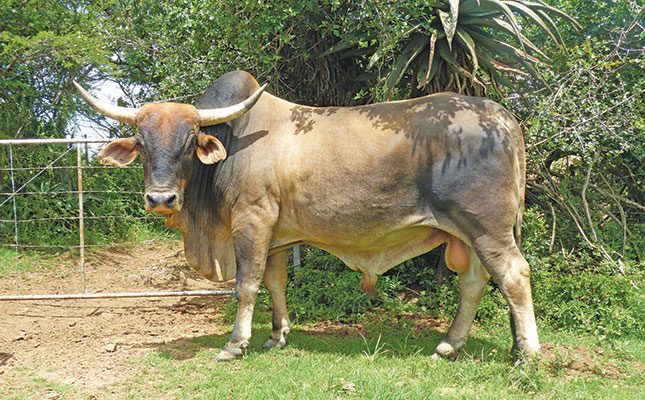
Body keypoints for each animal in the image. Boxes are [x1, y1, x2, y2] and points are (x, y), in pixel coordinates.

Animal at [74, 70, 540, 364]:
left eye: (190, 141)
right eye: (141, 142)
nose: (161, 198)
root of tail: (501, 115)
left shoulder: (251, 224)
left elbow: (246, 286)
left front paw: (235, 345)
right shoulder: (277, 236)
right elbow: (275, 284)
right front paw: (277, 335)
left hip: (487, 229)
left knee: (514, 277)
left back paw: (528, 355)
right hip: (469, 235)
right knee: (474, 283)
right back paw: (452, 346)